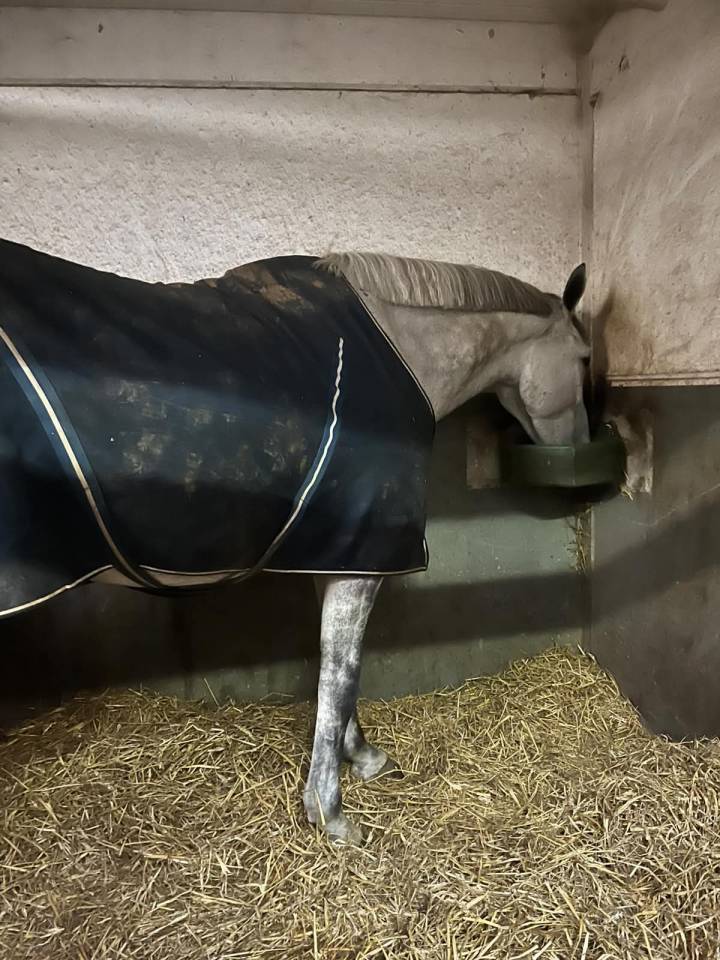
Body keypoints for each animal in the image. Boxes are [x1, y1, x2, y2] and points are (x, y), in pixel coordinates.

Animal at [0, 240, 589, 844]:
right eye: (585, 359)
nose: (582, 448)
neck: (399, 346)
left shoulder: (331, 551)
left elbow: (333, 663)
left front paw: (362, 757)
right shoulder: (362, 558)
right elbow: (341, 672)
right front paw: (330, 811)